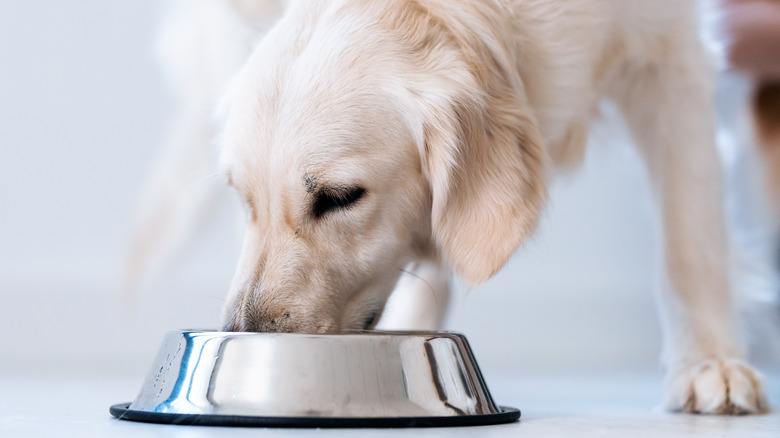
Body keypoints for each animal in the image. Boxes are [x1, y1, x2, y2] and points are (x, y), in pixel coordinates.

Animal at [129, 0, 768, 414]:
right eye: (244, 199)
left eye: (339, 197)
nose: (243, 338)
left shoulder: (673, 54)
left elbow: (689, 239)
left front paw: (709, 364)